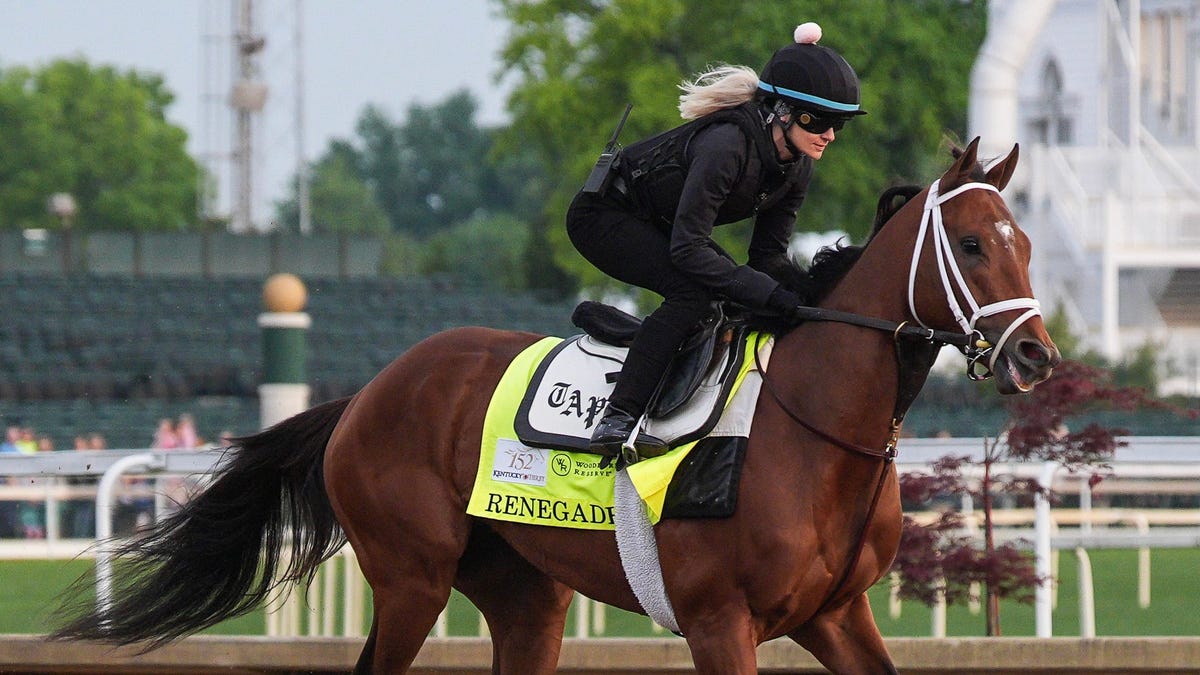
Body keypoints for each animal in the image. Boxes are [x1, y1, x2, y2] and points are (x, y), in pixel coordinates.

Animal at [53, 137, 1059, 674]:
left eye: (1026, 243)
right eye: (973, 244)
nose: (1036, 355)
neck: (810, 430)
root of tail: (364, 394)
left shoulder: (836, 614)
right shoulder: (720, 620)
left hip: (524, 592)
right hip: (413, 575)